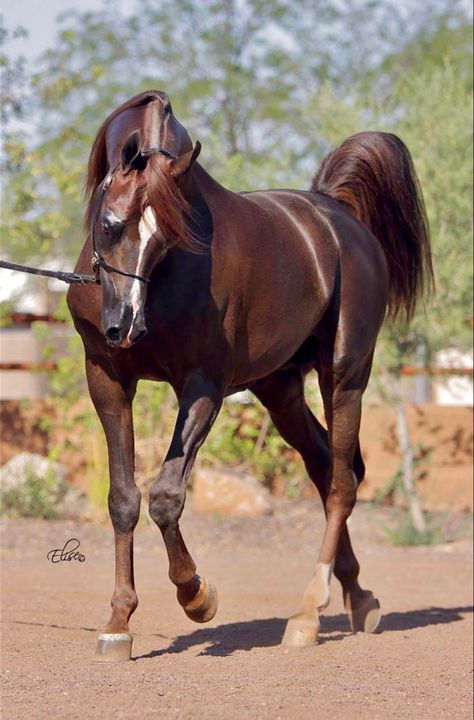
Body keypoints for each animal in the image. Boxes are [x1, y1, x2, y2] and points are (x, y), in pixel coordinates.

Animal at [67, 88, 434, 660]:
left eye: (168, 239)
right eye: (109, 224)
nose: (126, 324)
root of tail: (336, 215)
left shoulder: (204, 386)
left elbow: (166, 496)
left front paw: (197, 596)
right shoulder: (106, 379)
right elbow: (124, 499)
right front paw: (118, 623)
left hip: (345, 375)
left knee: (342, 484)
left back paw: (308, 614)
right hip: (280, 389)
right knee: (326, 467)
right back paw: (358, 597)